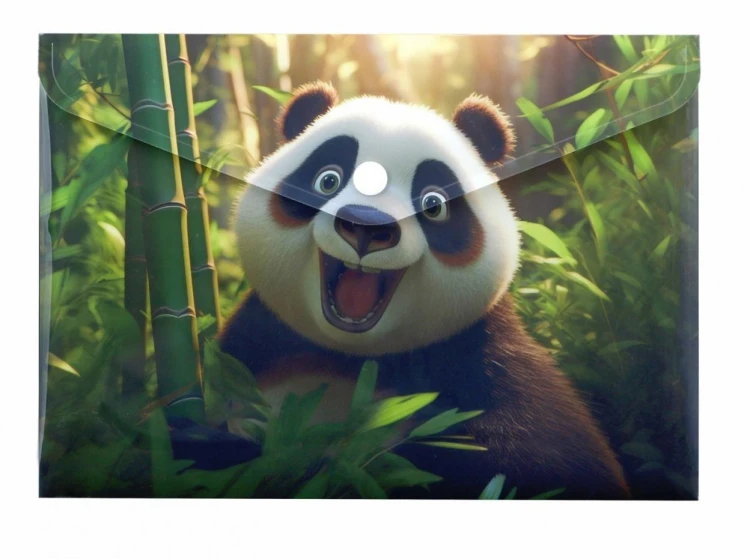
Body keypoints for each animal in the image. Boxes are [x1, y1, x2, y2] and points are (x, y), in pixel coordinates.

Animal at [218, 81, 629, 499]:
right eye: (327, 180)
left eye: (434, 203)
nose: (366, 225)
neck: (357, 357)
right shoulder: (252, 348)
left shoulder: (484, 357)